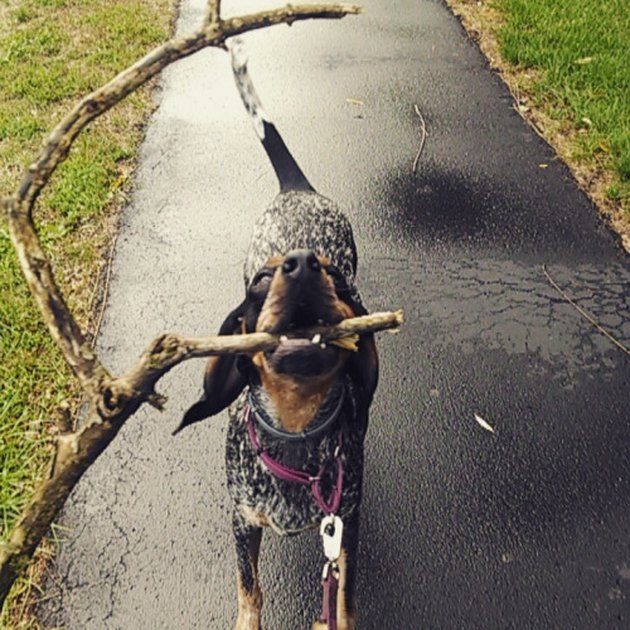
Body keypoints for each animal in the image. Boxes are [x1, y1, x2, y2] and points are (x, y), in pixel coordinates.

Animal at [175, 42, 378, 628]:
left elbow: (343, 595)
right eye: (261, 282)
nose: (304, 263)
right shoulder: (243, 520)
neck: (296, 431)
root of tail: (298, 187)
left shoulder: (345, 525)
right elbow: (250, 588)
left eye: (335, 277)